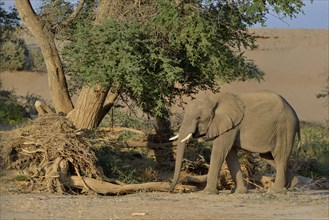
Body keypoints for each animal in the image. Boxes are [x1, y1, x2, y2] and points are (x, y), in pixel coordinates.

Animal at [169, 90, 300, 193]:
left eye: (198, 117)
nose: (170, 190)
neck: (214, 99)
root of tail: (294, 112)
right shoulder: (229, 126)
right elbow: (230, 154)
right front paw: (240, 192)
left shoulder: (230, 125)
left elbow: (220, 151)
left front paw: (207, 193)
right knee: (268, 157)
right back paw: (292, 185)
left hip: (285, 128)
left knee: (280, 156)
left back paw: (276, 190)